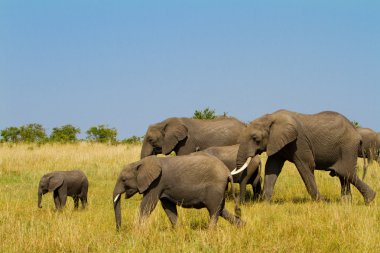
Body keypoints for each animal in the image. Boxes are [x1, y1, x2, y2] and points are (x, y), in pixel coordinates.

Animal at [113, 153, 243, 230]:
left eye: (124, 180)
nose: (119, 230)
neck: (140, 163)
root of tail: (227, 172)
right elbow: (168, 207)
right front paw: (178, 230)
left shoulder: (157, 183)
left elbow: (147, 205)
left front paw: (137, 230)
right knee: (220, 209)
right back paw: (242, 226)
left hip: (215, 187)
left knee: (214, 210)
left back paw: (210, 232)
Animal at [236, 109, 376, 205]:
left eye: (255, 138)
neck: (271, 117)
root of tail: (356, 132)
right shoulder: (277, 143)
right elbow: (272, 168)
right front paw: (265, 202)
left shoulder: (300, 142)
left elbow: (306, 166)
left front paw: (321, 202)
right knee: (343, 175)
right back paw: (346, 204)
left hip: (347, 147)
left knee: (345, 172)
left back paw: (370, 199)